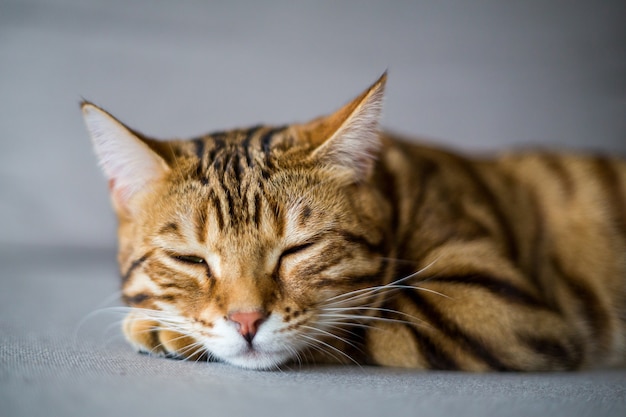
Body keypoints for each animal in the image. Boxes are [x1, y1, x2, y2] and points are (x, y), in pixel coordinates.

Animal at [81, 73, 624, 368]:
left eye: (297, 249)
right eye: (190, 259)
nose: (247, 321)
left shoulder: (500, 306)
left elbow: (350, 326)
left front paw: (165, 331)